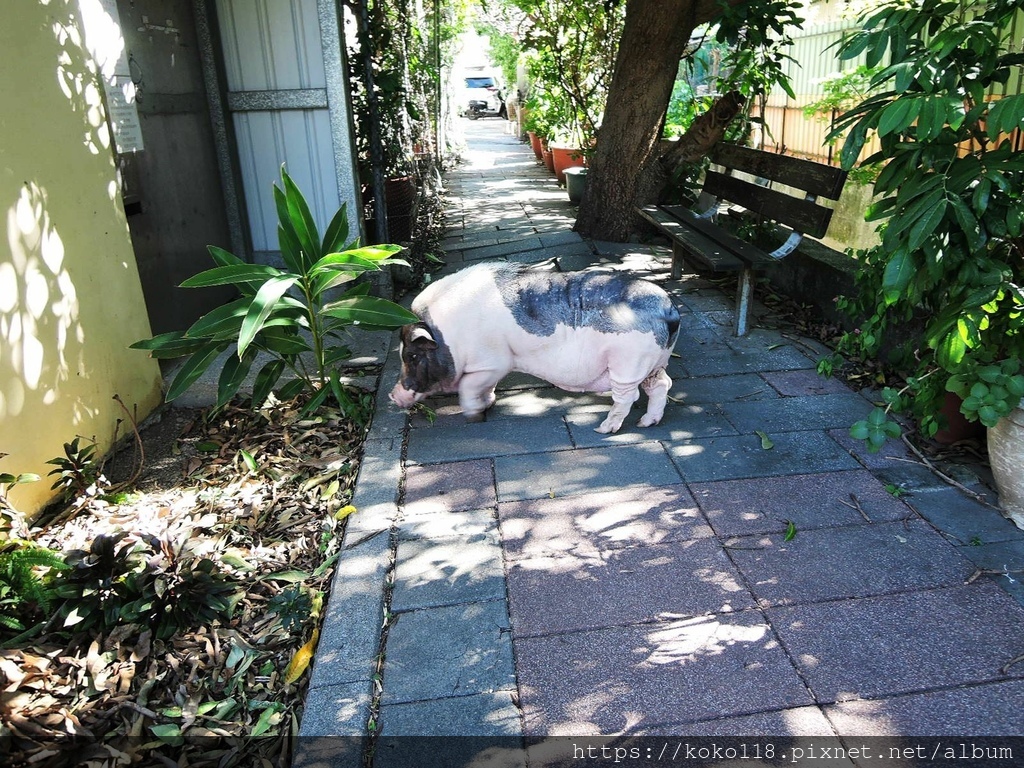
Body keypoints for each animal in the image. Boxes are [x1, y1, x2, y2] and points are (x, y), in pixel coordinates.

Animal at [389, 264, 679, 434]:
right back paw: (647, 423)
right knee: (662, 384)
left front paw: (473, 417)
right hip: (654, 363)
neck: (448, 336)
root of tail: (669, 309)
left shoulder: (493, 362)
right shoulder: (490, 369)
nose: (393, 396)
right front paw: (489, 404)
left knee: (628, 396)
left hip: (628, 363)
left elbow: (469, 388)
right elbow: (487, 388)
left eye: (412, 355)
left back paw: (603, 429)